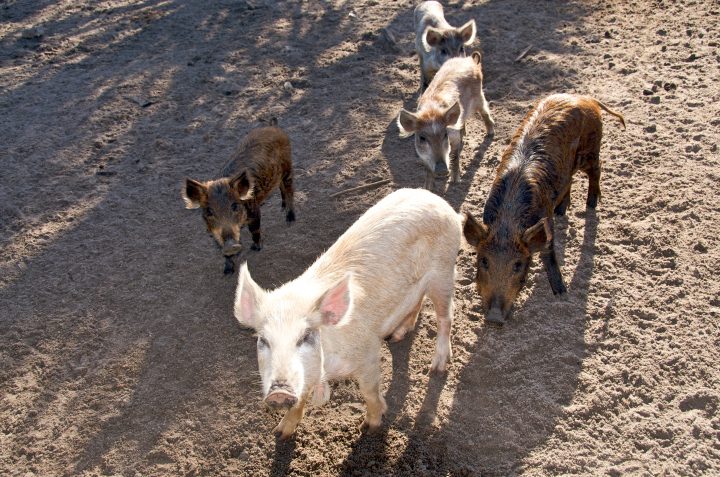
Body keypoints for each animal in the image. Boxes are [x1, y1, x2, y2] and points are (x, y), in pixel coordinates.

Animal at [182, 119, 295, 275]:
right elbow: (221, 249)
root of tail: (273, 127)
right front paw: (227, 271)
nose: (231, 245)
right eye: (209, 211)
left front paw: (256, 248)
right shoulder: (212, 231)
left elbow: (255, 230)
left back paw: (290, 219)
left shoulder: (254, 211)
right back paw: (282, 208)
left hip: (287, 166)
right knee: (281, 187)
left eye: (234, 206)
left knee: (289, 188)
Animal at [234, 188, 461, 438]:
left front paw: (370, 427)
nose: (279, 393)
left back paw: (437, 367)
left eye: (306, 337)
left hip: (443, 272)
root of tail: (437, 200)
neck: (326, 371)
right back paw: (397, 336)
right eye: (263, 340)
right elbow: (300, 399)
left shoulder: (368, 351)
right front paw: (280, 433)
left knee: (446, 317)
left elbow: (369, 392)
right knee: (416, 302)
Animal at [397, 52, 495, 192]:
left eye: (445, 135)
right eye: (422, 138)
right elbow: (428, 169)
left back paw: (490, 133)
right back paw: (465, 132)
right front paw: (427, 188)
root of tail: (470, 60)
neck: (431, 111)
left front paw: (455, 181)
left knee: (485, 111)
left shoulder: (454, 137)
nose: (442, 170)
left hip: (479, 97)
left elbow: (455, 156)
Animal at [463, 94, 625, 324]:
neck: (508, 223)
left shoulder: (545, 220)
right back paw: (562, 210)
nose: (494, 317)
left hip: (591, 149)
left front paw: (561, 293)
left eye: (518, 265)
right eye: (483, 261)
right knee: (569, 179)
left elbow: (549, 253)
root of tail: (584, 98)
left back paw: (591, 205)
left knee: (597, 170)